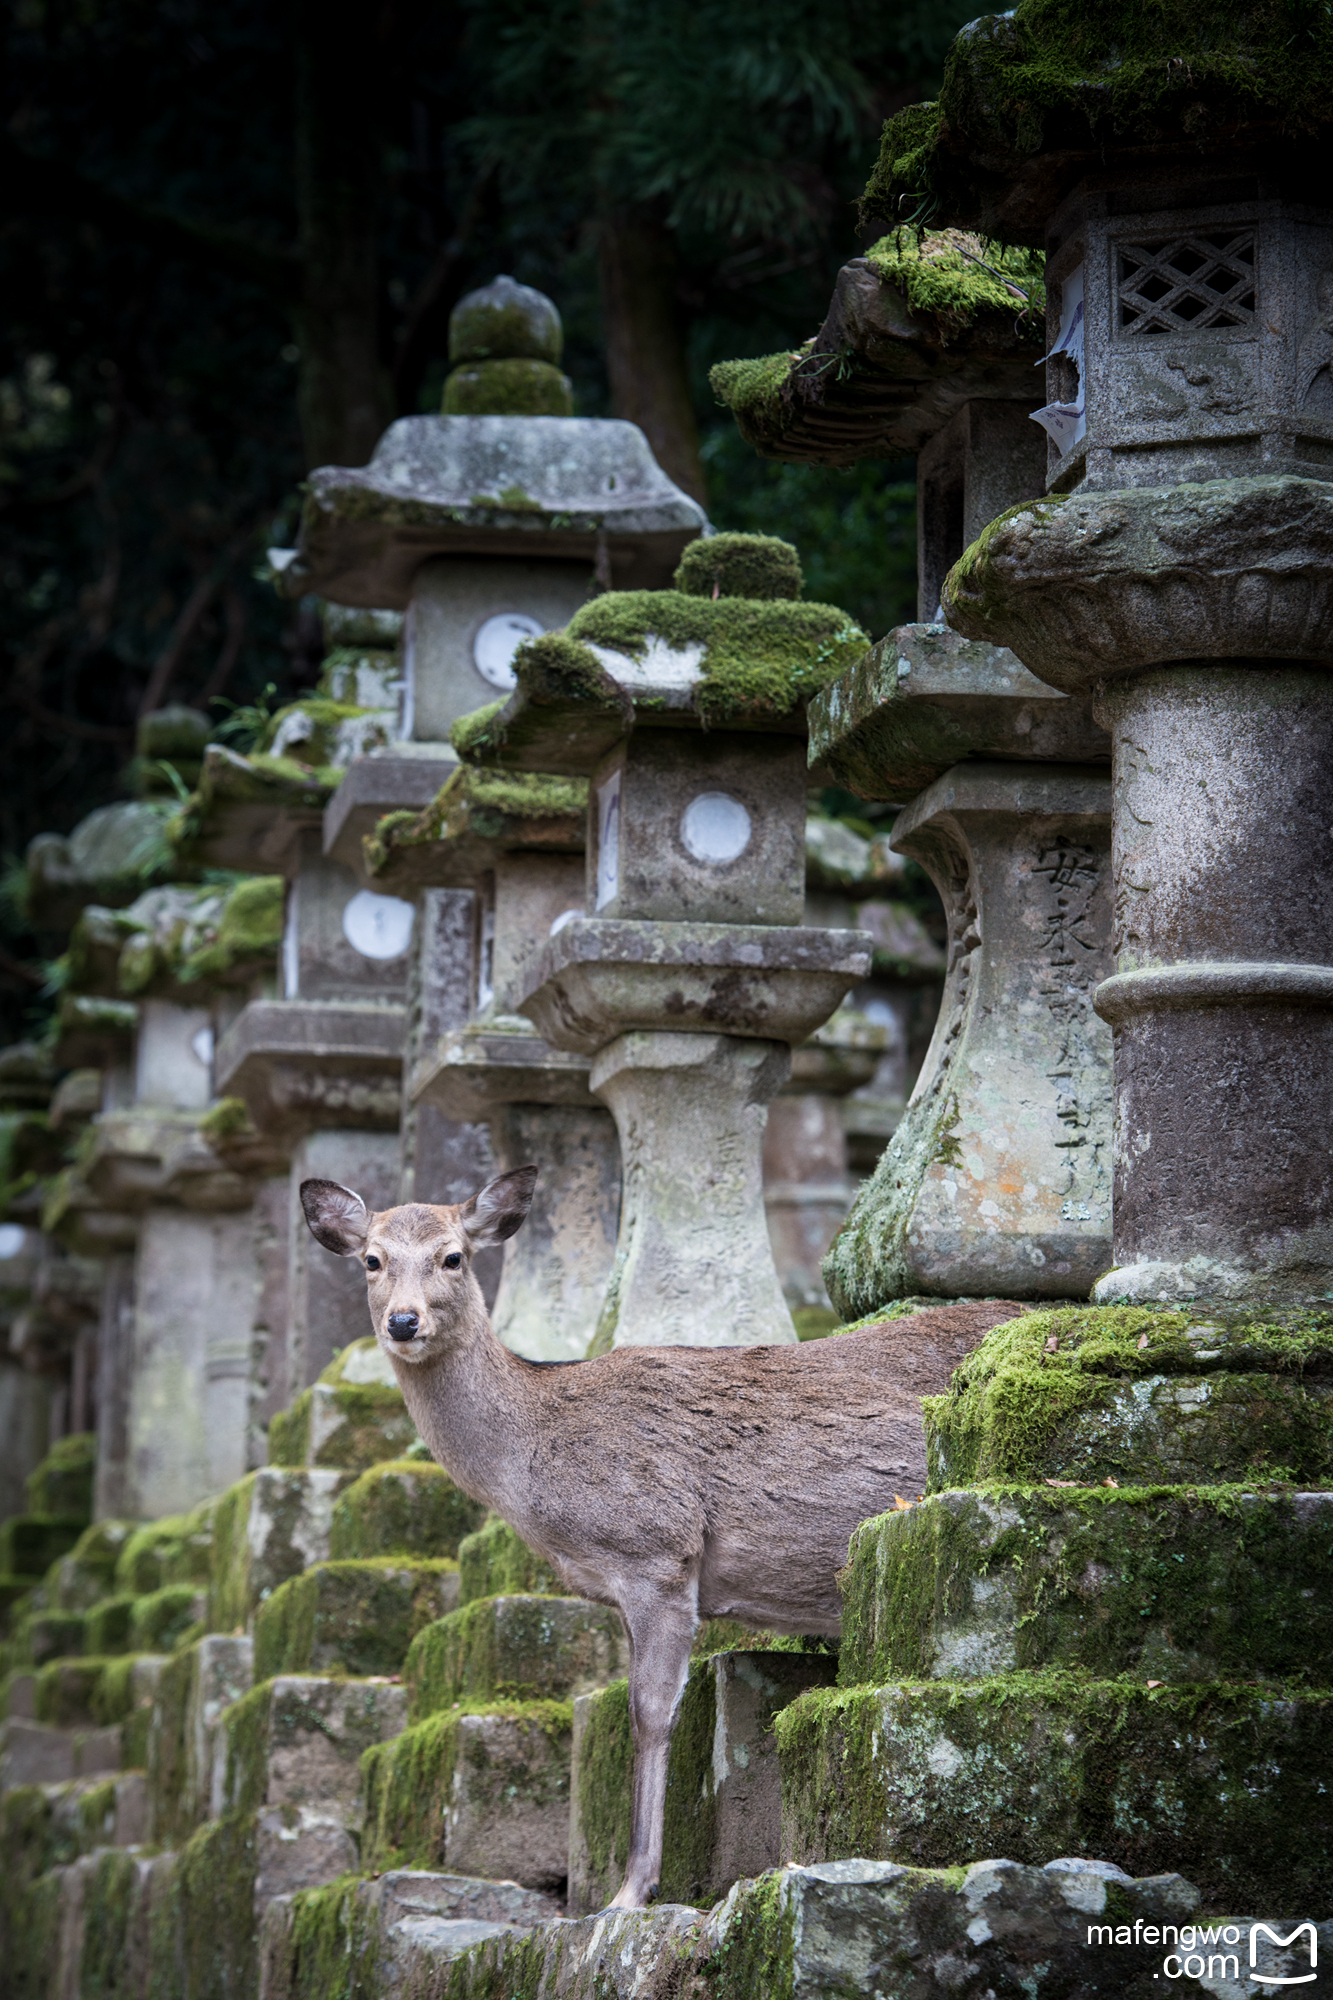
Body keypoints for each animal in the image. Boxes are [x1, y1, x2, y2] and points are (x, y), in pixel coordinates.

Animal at [304, 1168, 1024, 1912]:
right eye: (372, 1260)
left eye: (453, 1257)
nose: (403, 1321)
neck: (532, 1463)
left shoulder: (655, 1551)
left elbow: (648, 1714)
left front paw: (631, 1890)